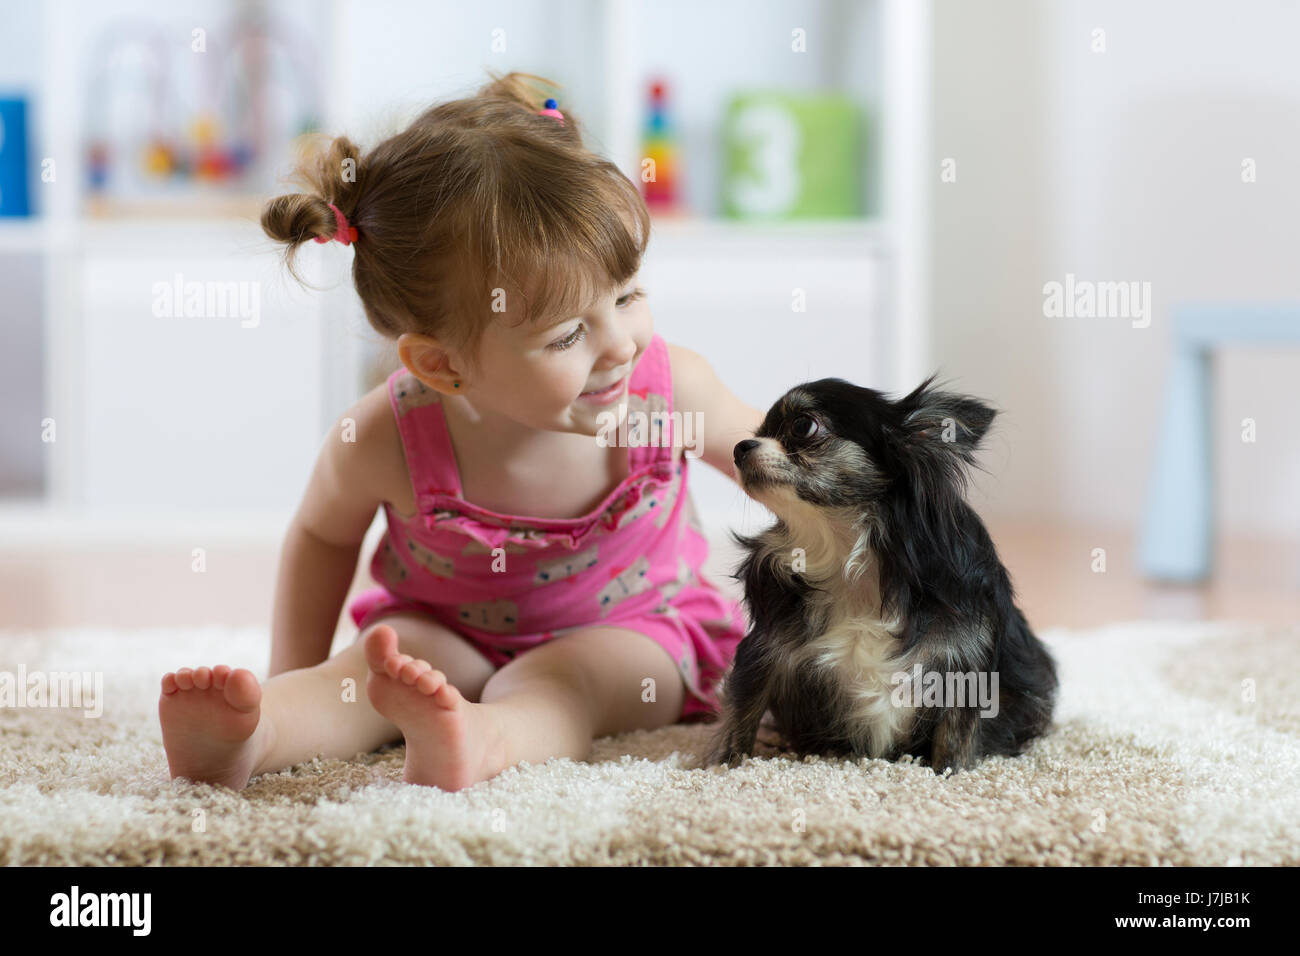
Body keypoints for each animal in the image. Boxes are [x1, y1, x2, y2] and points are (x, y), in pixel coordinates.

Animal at [707, 377, 1060, 775]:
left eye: (803, 426)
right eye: (759, 432)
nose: (740, 446)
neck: (845, 554)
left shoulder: (967, 663)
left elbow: (955, 736)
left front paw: (948, 774)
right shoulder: (765, 649)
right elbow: (742, 713)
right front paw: (723, 765)